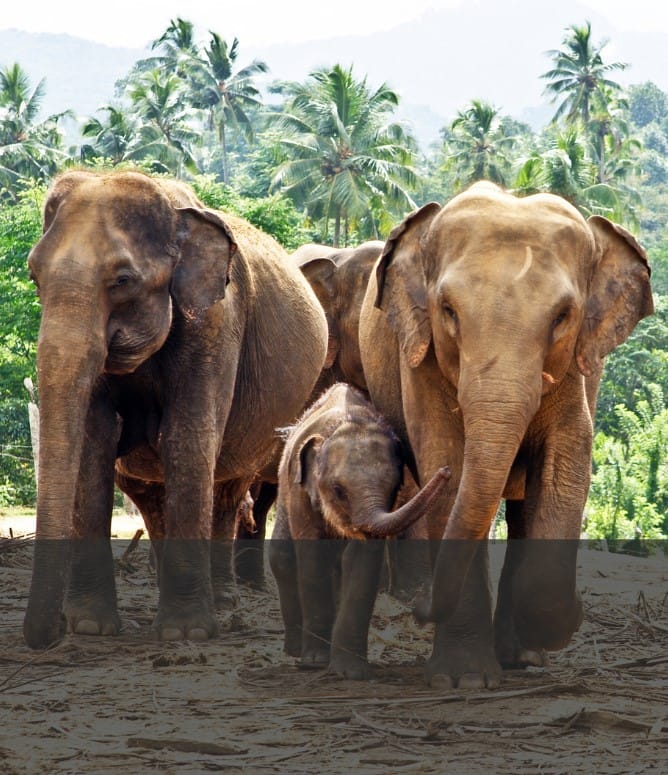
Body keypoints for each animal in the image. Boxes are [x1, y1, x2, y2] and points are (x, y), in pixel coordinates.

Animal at [24, 168, 328, 648]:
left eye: (122, 280)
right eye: (34, 276)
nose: (51, 634)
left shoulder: (217, 323)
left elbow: (188, 438)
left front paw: (186, 633)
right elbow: (94, 444)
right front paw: (90, 626)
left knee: (226, 491)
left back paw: (224, 608)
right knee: (152, 498)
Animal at [268, 382, 448, 680]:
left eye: (395, 487)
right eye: (338, 490)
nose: (446, 471)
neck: (347, 421)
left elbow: (362, 561)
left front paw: (350, 672)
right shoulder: (299, 494)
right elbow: (312, 560)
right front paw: (315, 662)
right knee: (283, 557)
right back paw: (294, 650)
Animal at [360, 182, 652, 692]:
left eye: (562, 316)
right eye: (448, 311)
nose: (418, 609)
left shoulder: (576, 374)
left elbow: (566, 464)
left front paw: (565, 618)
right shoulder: (420, 359)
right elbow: (449, 462)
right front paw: (463, 680)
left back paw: (522, 657)